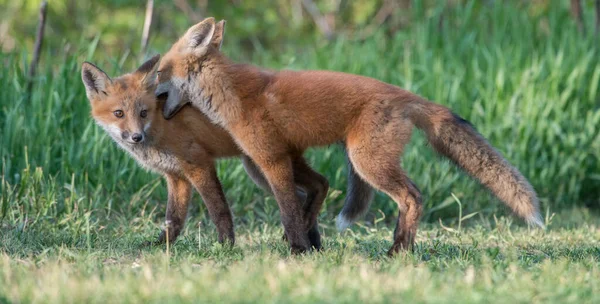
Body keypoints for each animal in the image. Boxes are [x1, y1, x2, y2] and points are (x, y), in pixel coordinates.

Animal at [82, 52, 368, 249]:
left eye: (143, 112)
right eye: (119, 114)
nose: (136, 136)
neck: (160, 125)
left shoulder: (199, 165)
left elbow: (218, 209)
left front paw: (225, 245)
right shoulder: (176, 177)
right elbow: (173, 219)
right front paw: (160, 246)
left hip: (264, 164)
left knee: (317, 185)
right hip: (258, 170)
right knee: (310, 190)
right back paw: (312, 243)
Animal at [154, 16, 544, 254]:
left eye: (157, 73)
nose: (152, 105)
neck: (230, 91)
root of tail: (407, 95)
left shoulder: (272, 159)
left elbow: (288, 209)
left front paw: (296, 249)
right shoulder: (283, 154)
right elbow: (306, 201)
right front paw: (306, 243)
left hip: (367, 162)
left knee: (413, 197)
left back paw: (397, 252)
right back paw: (399, 249)